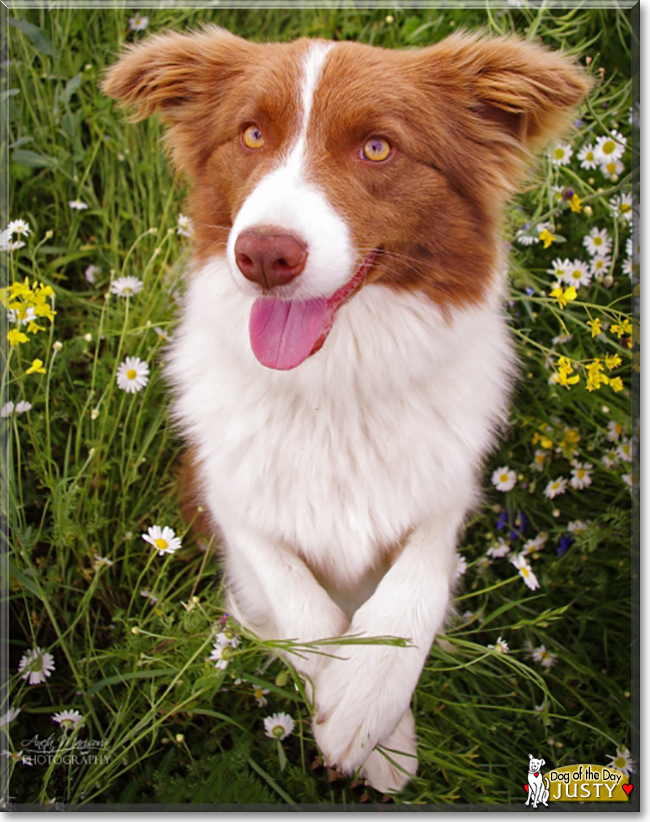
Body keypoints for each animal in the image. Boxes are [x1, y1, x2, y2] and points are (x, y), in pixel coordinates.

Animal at [104, 25, 588, 796]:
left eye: (378, 148)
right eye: (251, 134)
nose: (263, 254)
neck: (335, 389)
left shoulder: (448, 488)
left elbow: (417, 582)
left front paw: (373, 714)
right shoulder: (228, 500)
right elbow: (298, 600)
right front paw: (355, 714)